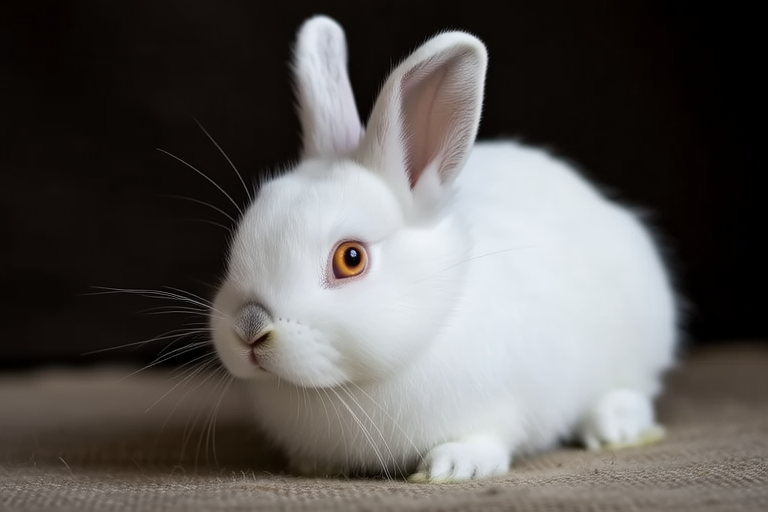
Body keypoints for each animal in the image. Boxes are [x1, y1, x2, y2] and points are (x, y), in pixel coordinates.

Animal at [209, 15, 678, 483]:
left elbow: (486, 437)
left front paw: (452, 467)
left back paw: (614, 425)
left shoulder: (499, 407)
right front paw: (314, 465)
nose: (250, 327)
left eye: (350, 258)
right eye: (243, 235)